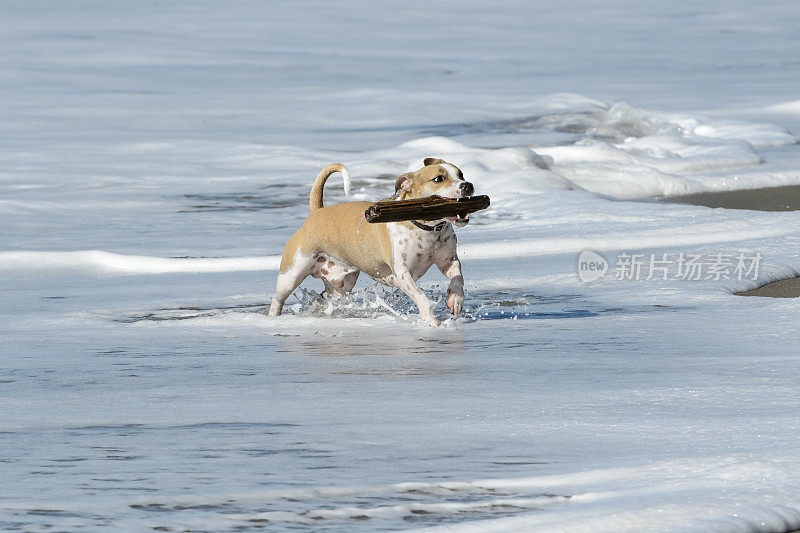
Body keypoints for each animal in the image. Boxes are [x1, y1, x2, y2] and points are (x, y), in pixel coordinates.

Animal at [268, 156, 476, 326]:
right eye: (438, 179)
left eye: (461, 174)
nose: (467, 185)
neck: (425, 227)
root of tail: (316, 211)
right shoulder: (402, 274)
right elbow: (421, 296)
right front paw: (432, 320)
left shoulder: (448, 261)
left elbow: (458, 277)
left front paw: (456, 299)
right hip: (291, 273)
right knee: (278, 298)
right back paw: (272, 317)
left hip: (342, 283)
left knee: (331, 297)